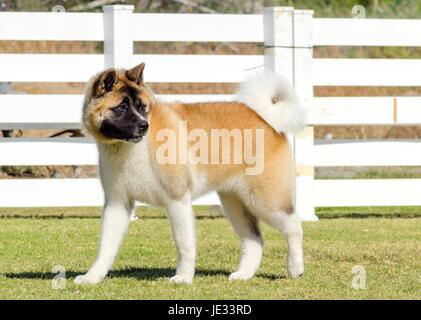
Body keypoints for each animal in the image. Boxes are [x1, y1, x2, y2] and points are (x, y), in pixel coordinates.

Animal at [74, 62, 306, 284]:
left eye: (142, 107)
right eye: (121, 107)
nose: (144, 125)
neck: (131, 149)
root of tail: (265, 118)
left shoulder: (177, 200)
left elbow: (184, 244)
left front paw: (183, 277)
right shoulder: (117, 203)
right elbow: (106, 247)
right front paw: (92, 277)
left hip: (266, 200)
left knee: (294, 225)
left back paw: (295, 268)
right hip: (235, 203)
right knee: (254, 240)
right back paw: (243, 274)